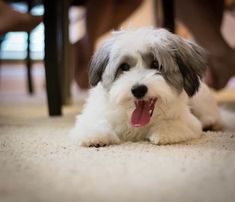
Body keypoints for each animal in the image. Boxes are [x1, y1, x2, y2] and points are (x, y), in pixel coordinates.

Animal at [70, 27, 222, 147]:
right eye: (124, 66)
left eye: (156, 64)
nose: (138, 90)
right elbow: (94, 122)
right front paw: (95, 136)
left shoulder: (189, 122)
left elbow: (176, 124)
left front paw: (163, 132)